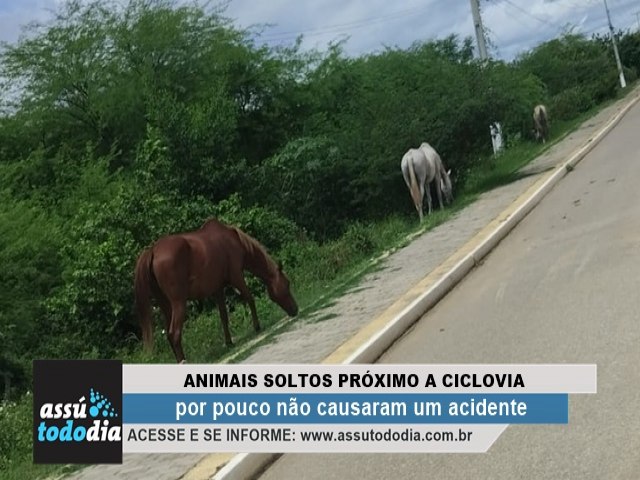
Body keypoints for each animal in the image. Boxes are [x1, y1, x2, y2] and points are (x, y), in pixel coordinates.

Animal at [134, 218, 298, 364]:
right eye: (287, 284)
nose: (295, 309)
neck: (234, 239)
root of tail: (153, 251)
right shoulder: (237, 277)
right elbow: (249, 298)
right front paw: (257, 327)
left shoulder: (218, 289)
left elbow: (223, 316)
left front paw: (229, 342)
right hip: (178, 303)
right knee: (174, 333)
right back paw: (183, 361)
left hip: (165, 305)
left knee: (169, 334)